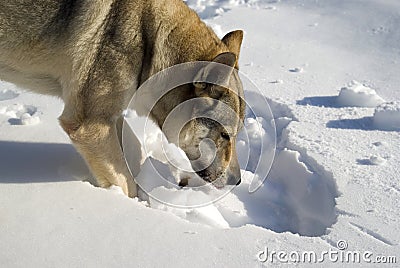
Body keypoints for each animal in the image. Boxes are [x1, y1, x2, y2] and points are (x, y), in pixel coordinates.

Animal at [0, 0, 245, 197]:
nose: (237, 181)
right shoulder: (90, 126)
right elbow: (125, 183)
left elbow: (134, 153)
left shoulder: (112, 116)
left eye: (235, 135)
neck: (149, 41)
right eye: (225, 135)